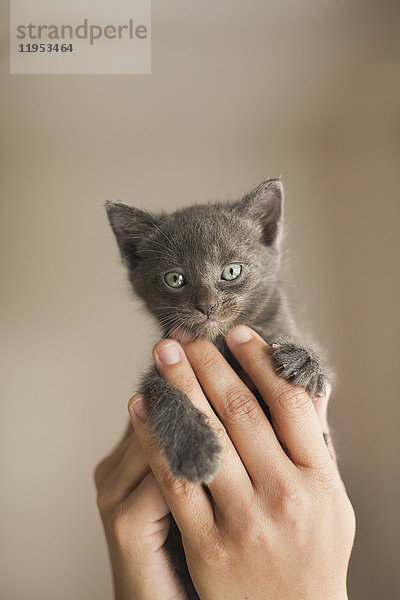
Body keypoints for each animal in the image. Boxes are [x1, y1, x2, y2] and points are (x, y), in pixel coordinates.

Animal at [105, 179, 328, 600]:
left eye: (231, 271)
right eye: (174, 279)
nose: (206, 306)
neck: (219, 341)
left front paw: (305, 361)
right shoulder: (158, 370)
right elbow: (165, 397)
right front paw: (195, 450)